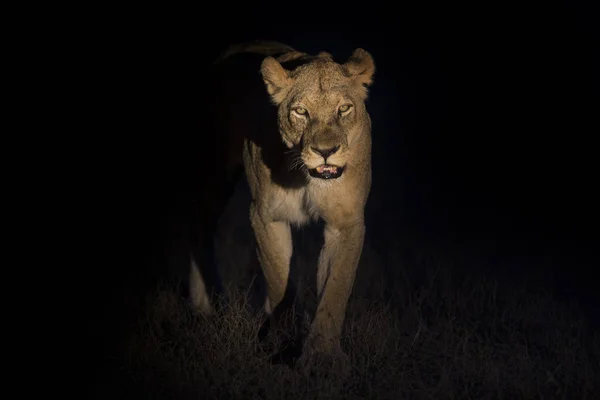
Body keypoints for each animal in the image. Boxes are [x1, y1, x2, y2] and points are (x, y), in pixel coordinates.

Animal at [188, 40, 376, 362]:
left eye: (344, 109)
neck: (307, 177)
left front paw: (323, 356)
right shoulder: (266, 215)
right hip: (213, 177)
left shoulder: (346, 221)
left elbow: (335, 289)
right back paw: (203, 306)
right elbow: (279, 279)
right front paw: (281, 342)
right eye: (301, 111)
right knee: (200, 229)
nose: (326, 152)